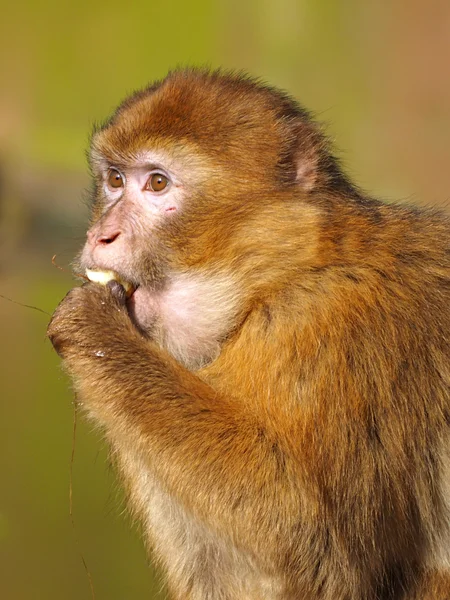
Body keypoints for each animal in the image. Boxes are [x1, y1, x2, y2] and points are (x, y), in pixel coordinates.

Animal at [47, 68, 450, 596]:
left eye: (157, 183)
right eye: (114, 180)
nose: (101, 235)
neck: (282, 275)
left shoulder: (336, 326)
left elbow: (317, 545)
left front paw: (97, 335)